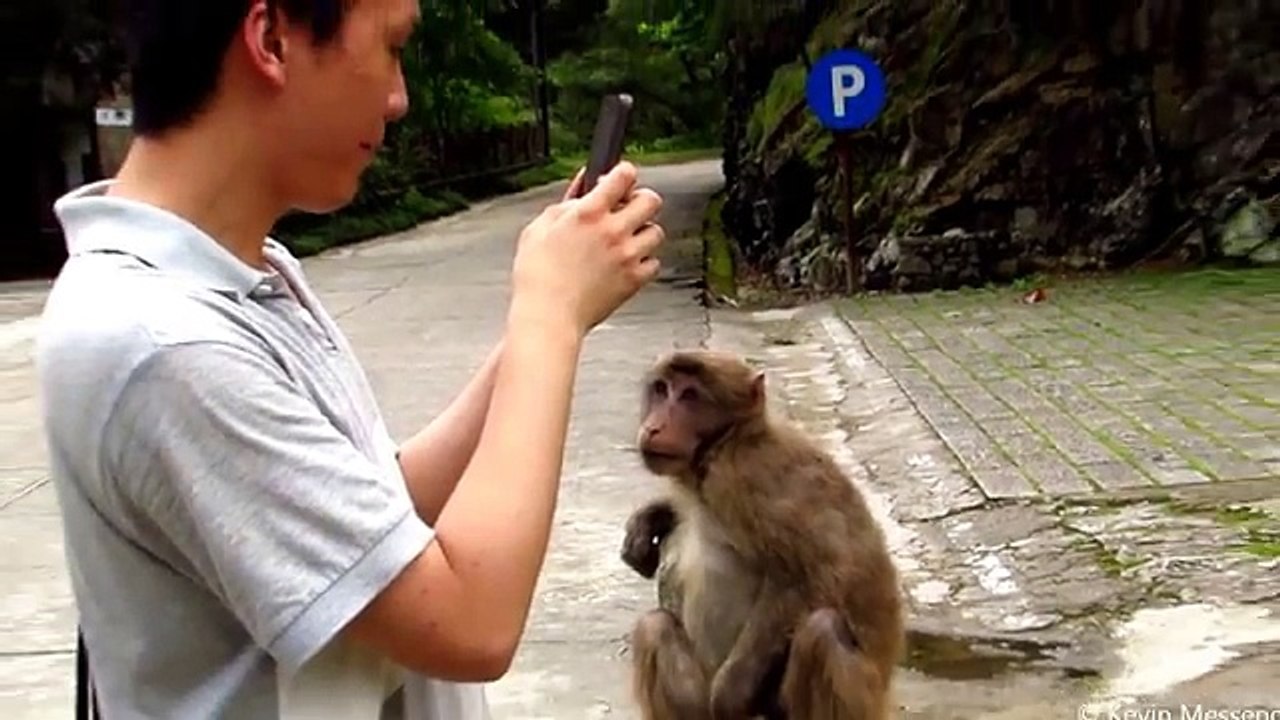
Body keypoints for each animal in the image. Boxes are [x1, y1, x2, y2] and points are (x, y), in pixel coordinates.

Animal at [620, 349, 905, 720]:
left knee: (823, 631)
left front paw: (730, 698)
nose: (654, 427)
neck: (726, 444)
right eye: (661, 389)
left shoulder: (744, 476)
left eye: (690, 396)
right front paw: (651, 518)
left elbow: (811, 572)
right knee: (653, 627)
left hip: (864, 699)